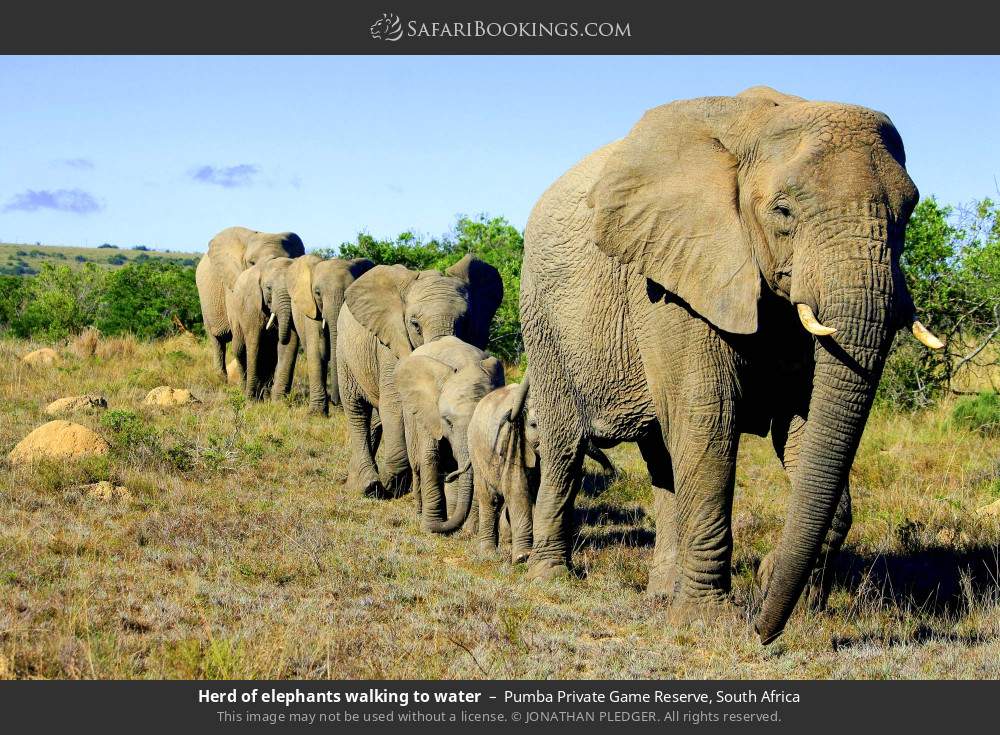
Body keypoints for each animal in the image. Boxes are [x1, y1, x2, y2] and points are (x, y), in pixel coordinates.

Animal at [226, 257, 299, 400]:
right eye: (269, 288)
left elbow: (290, 343)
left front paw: (276, 401)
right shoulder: (252, 305)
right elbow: (254, 342)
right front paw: (250, 399)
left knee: (269, 356)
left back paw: (264, 396)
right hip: (234, 313)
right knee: (240, 349)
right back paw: (244, 390)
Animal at [337, 254, 503, 499]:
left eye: (465, 321)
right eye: (415, 324)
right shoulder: (391, 343)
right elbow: (395, 403)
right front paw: (393, 483)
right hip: (345, 352)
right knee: (356, 409)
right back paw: (368, 486)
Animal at [395, 336, 506, 533]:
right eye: (448, 422)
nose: (449, 477)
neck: (465, 363)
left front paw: (470, 531)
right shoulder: (429, 411)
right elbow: (430, 456)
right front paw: (430, 526)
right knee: (416, 463)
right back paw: (419, 512)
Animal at [518, 86, 944, 644]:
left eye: (908, 212)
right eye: (783, 211)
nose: (761, 630)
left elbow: (807, 425)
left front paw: (787, 600)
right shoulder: (675, 277)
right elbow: (709, 416)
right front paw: (709, 623)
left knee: (661, 456)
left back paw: (660, 595)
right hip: (543, 318)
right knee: (565, 448)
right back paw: (552, 580)